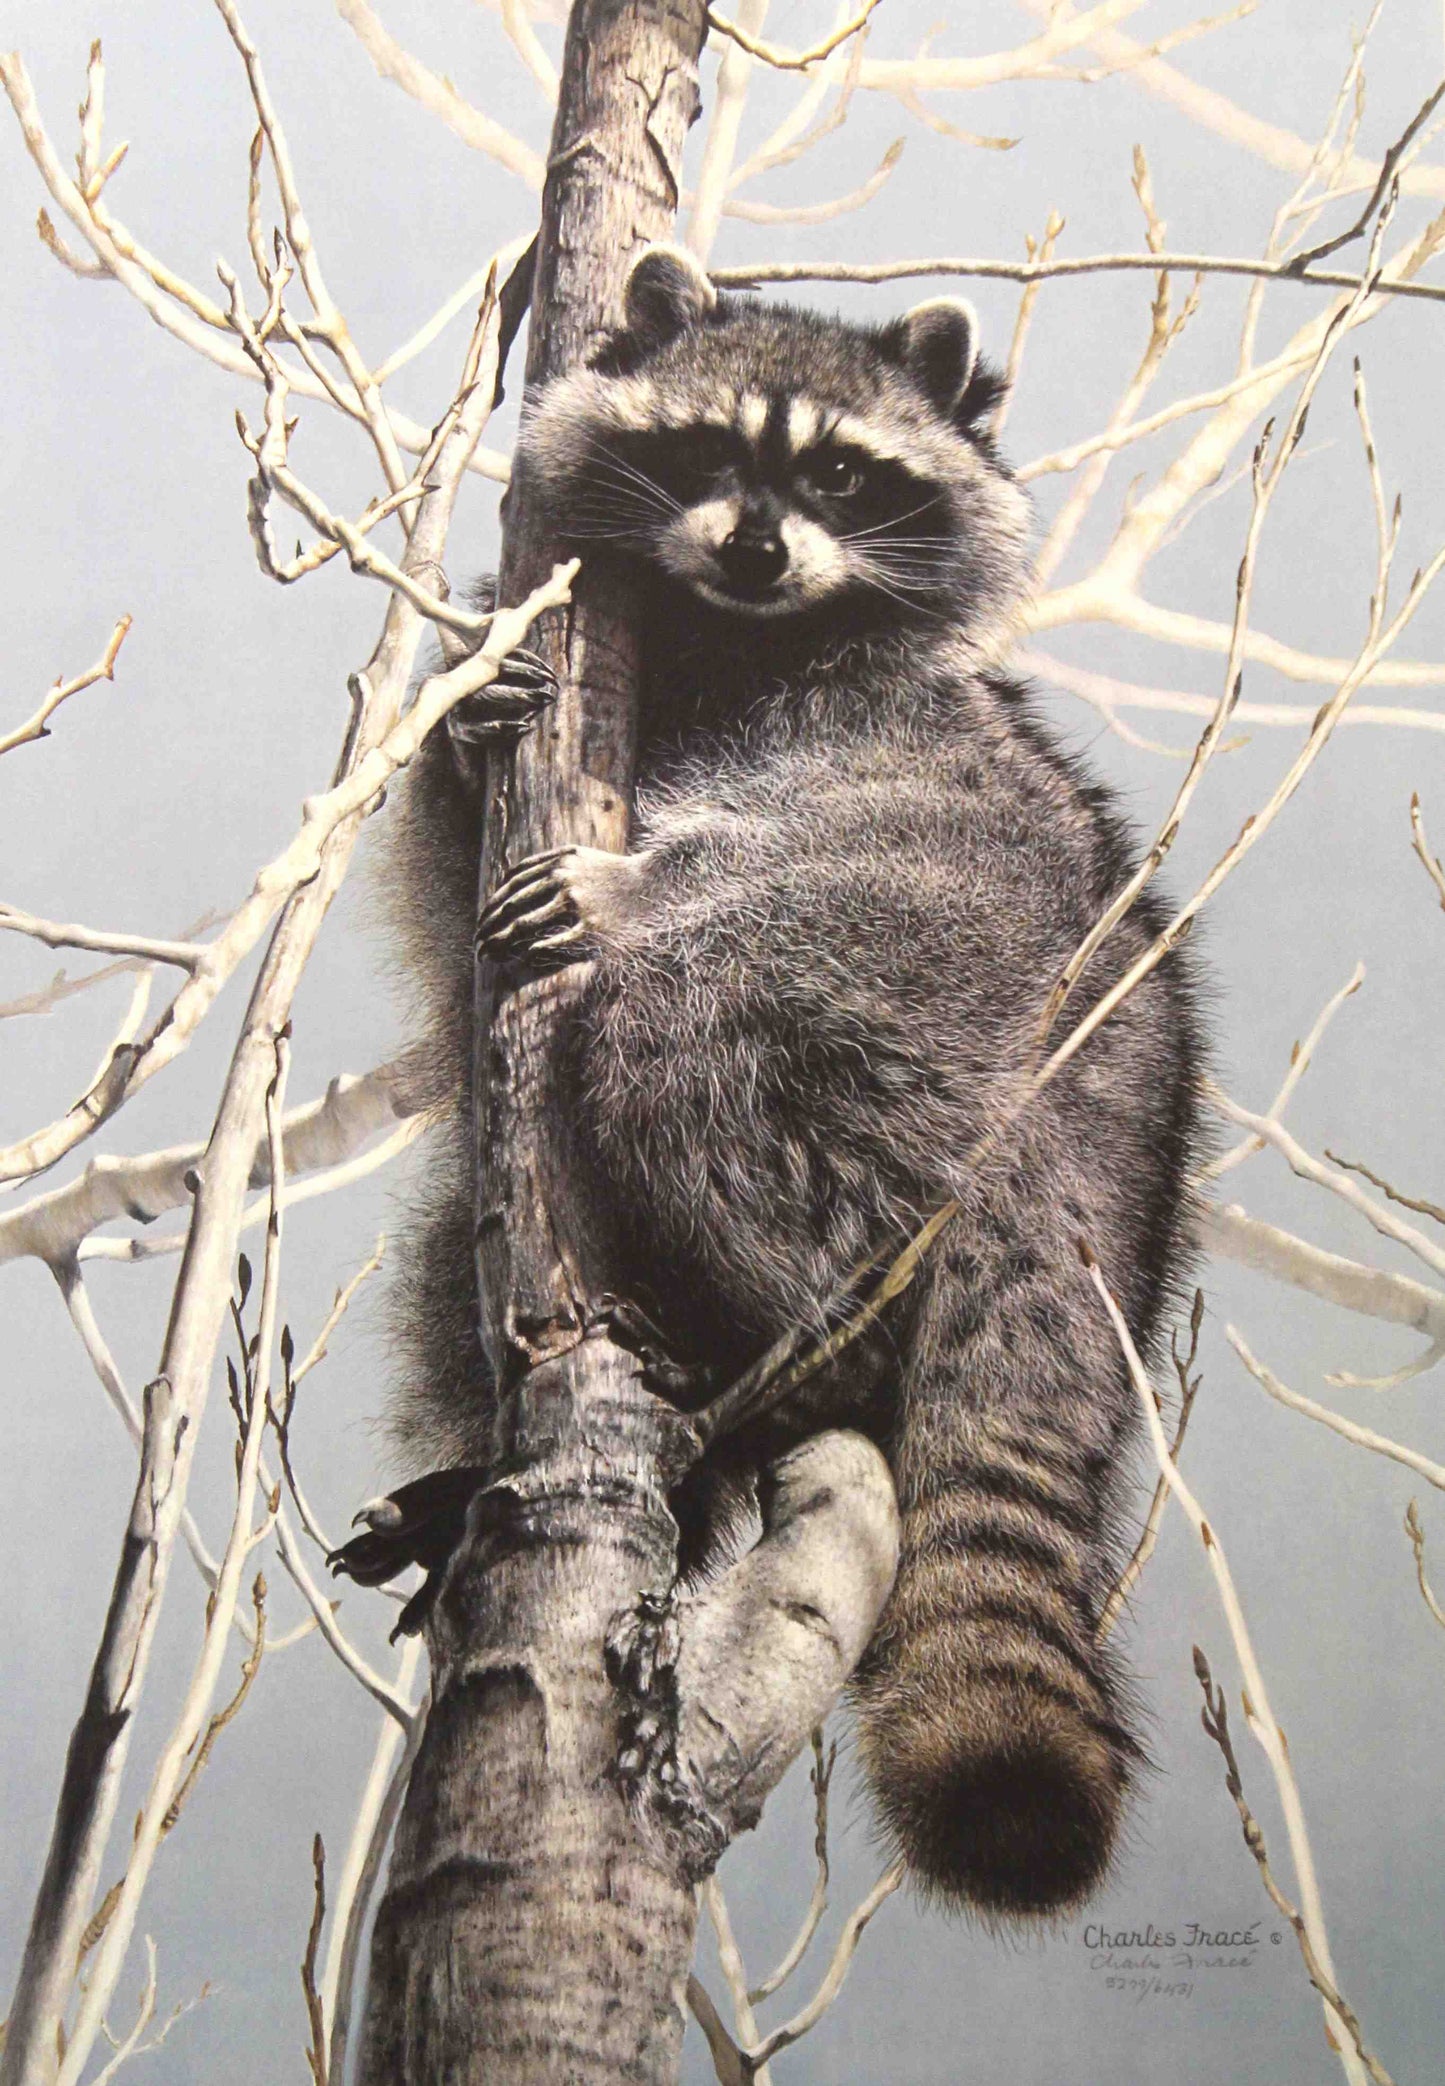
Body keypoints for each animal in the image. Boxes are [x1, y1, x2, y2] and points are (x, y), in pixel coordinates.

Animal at [377, 246, 1204, 1919]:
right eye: (712, 453)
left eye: (835, 471)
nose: (756, 545)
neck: (734, 632)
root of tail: (1097, 1181)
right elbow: (448, 850)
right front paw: (461, 717)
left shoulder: (933, 759)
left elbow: (920, 859)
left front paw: (637, 885)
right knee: (455, 1254)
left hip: (933, 1068)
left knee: (690, 1018)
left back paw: (792, 1341)